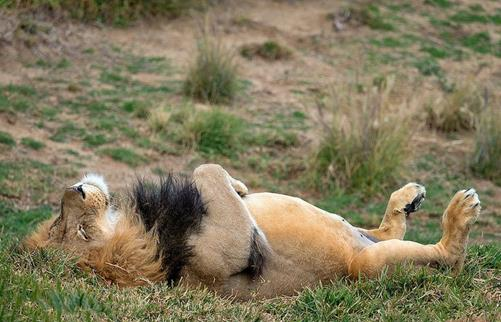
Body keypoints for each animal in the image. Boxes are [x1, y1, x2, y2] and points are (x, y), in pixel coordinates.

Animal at [24, 164, 480, 300]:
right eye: (80, 233)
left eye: (59, 223)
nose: (76, 190)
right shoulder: (230, 252)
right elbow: (205, 168)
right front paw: (238, 186)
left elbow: (207, 169)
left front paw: (241, 187)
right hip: (365, 265)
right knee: (444, 258)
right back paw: (459, 214)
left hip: (362, 236)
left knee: (382, 227)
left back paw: (408, 197)